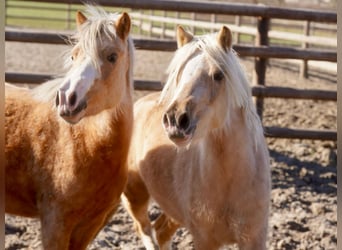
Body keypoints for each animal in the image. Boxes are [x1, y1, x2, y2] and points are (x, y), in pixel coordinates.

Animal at [123, 25, 270, 250]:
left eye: (218, 75)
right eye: (178, 74)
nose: (175, 120)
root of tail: (139, 104)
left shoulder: (254, 239)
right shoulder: (204, 239)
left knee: (161, 232)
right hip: (135, 196)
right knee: (145, 230)